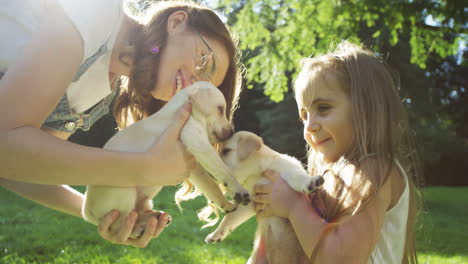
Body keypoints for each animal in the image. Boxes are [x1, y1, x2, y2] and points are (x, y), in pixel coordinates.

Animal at [82, 81, 250, 238]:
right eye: (220, 109)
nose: (231, 132)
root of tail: (87, 210)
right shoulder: (197, 140)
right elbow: (223, 171)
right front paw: (239, 191)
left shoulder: (194, 168)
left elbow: (211, 187)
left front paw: (225, 204)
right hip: (124, 192)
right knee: (120, 224)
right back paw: (136, 230)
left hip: (144, 199)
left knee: (137, 212)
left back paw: (151, 218)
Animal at [203, 131, 324, 264]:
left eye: (226, 151)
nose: (206, 169)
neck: (257, 173)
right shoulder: (250, 203)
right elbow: (230, 218)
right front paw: (216, 234)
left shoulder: (288, 170)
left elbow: (296, 177)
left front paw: (310, 182)